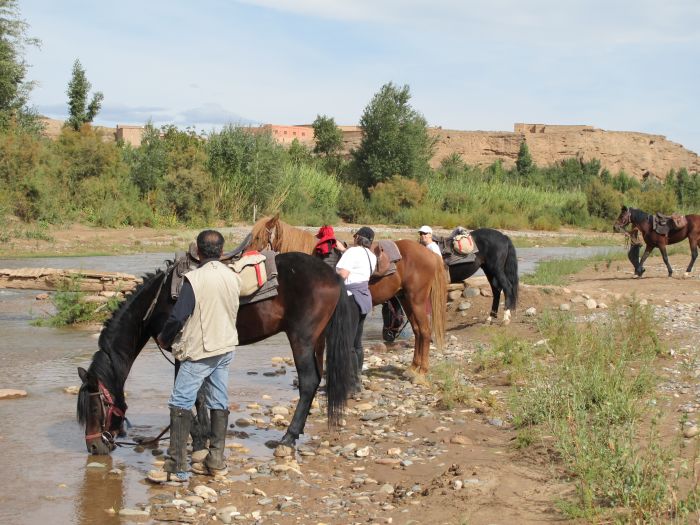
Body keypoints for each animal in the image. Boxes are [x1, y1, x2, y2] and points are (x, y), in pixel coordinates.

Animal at [249, 215, 446, 374]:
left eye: (258, 237)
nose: (246, 255)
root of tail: (430, 254)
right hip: (406, 299)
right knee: (418, 331)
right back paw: (413, 368)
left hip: (417, 300)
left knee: (425, 331)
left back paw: (421, 372)